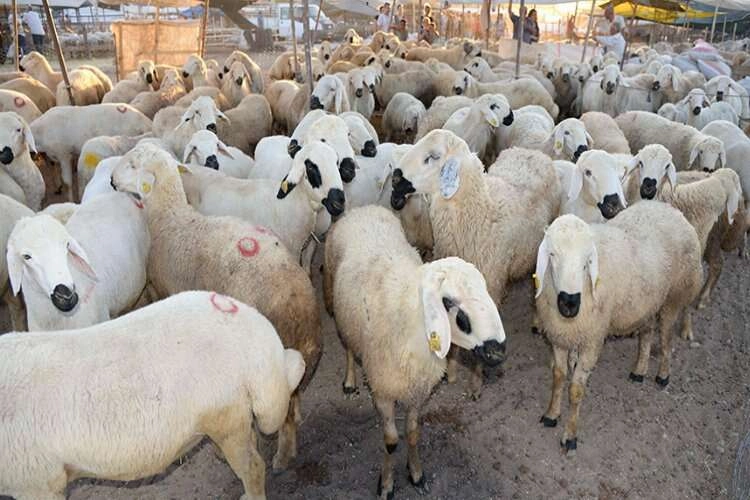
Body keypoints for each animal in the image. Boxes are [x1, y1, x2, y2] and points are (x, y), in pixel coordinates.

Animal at [109, 143, 322, 470]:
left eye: (133, 165)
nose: (110, 180)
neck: (170, 217)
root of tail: (297, 307)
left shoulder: (161, 289)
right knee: (293, 396)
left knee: (281, 414)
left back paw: (282, 456)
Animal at [323, 205, 506, 499]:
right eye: (448, 301)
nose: (497, 351)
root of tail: (362, 208)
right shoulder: (384, 391)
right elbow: (390, 441)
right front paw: (386, 483)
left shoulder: (418, 391)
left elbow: (412, 434)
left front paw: (416, 473)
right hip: (338, 304)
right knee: (349, 346)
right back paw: (350, 381)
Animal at [391, 131, 560, 397]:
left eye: (433, 156)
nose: (396, 178)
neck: (479, 214)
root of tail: (532, 152)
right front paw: (450, 372)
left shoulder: (489, 288)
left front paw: (476, 383)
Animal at [535, 204, 702, 454]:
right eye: (552, 254)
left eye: (587, 260)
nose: (569, 303)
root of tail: (671, 209)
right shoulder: (559, 337)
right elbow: (558, 376)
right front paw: (551, 414)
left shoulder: (592, 340)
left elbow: (575, 390)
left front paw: (570, 436)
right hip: (646, 302)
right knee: (646, 334)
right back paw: (639, 370)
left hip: (673, 296)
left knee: (665, 339)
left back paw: (663, 375)